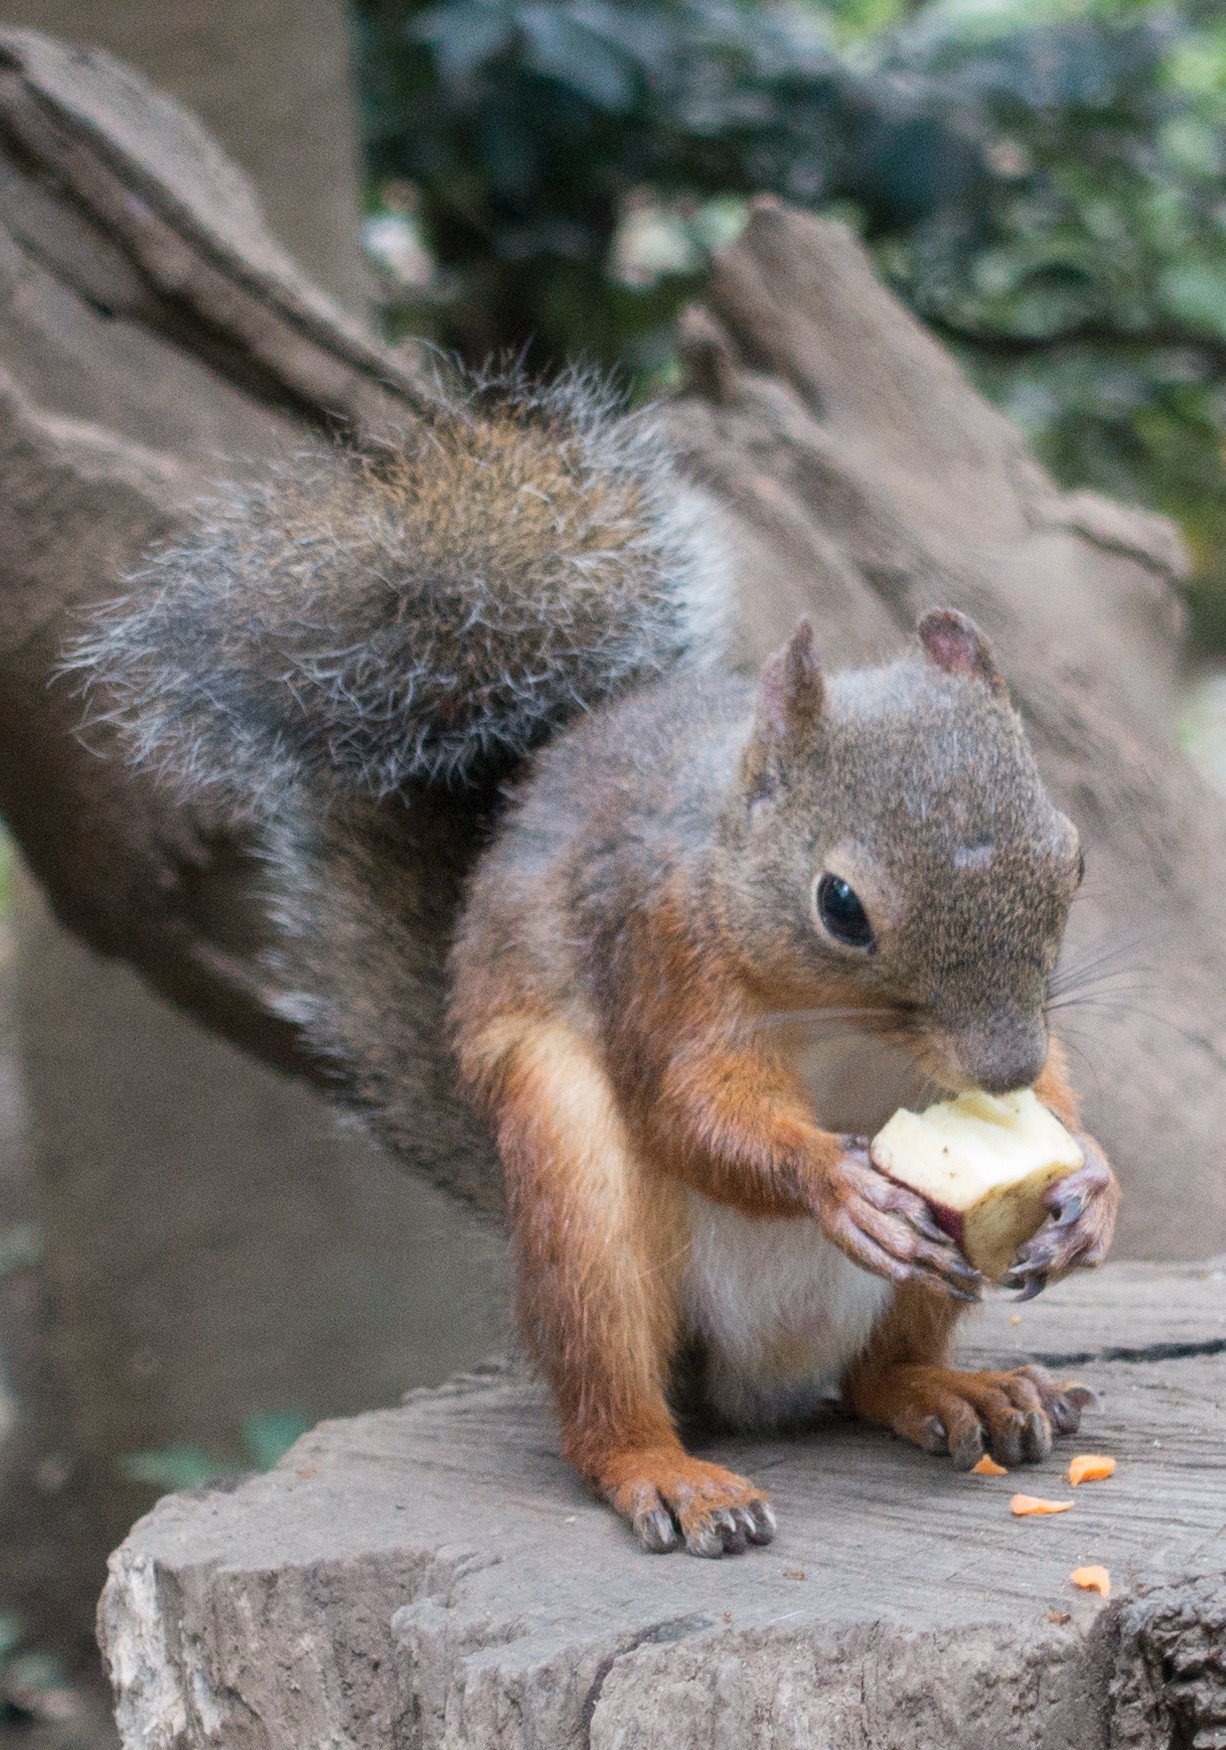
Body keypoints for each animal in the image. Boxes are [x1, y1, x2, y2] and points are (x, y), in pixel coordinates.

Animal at [69, 365, 1119, 1561]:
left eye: (1073, 856)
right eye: (840, 906)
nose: (997, 1070)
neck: (834, 1019)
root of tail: (755, 1381)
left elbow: (1058, 1096)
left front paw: (1090, 1183)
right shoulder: (660, 958)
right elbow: (690, 1110)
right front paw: (836, 1182)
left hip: (909, 1294)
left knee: (874, 1377)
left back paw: (955, 1390)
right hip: (575, 1199)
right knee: (604, 1396)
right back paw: (667, 1472)